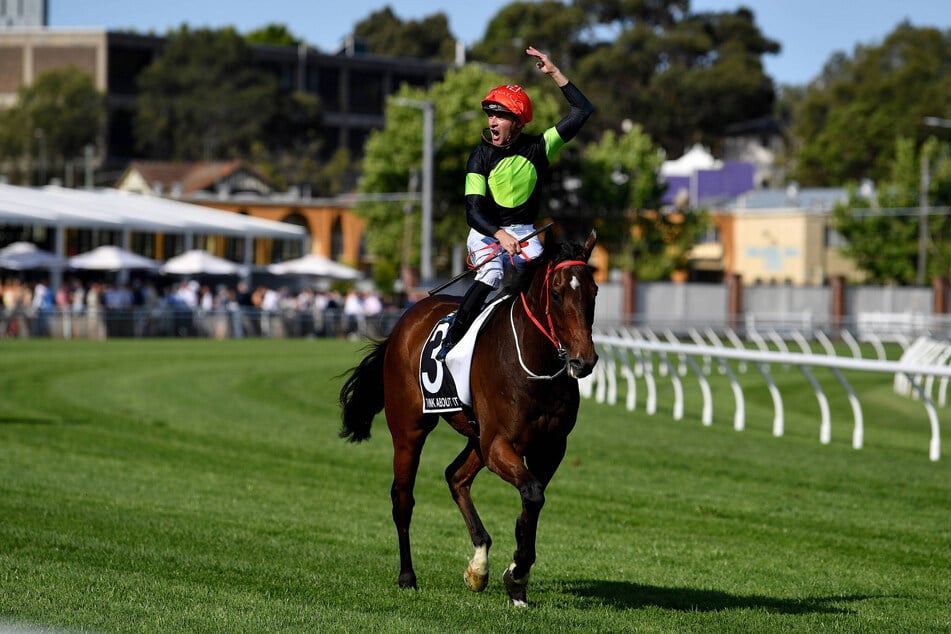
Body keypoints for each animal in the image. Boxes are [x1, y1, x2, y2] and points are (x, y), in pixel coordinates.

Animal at [338, 227, 600, 604]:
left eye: (593, 291)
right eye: (556, 292)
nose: (584, 360)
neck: (535, 363)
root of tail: (406, 318)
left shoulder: (549, 448)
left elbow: (531, 501)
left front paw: (515, 578)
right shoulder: (498, 444)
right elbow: (532, 494)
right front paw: (517, 572)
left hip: (476, 437)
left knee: (455, 476)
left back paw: (478, 565)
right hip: (410, 430)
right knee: (403, 498)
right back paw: (407, 576)